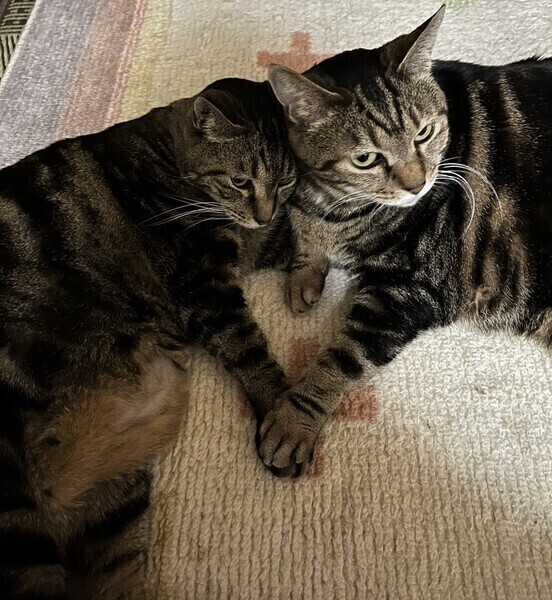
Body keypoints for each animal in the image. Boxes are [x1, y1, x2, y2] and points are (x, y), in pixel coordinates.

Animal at [0, 78, 297, 597]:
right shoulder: (204, 288)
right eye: (240, 181)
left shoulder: (252, 246)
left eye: (283, 182)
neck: (170, 158)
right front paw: (282, 414)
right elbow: (251, 353)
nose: (263, 212)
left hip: (112, 505)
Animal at [256, 5, 552, 476]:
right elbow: (305, 234)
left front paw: (292, 421)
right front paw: (305, 273)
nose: (417, 185)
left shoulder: (407, 293)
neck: (334, 201)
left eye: (424, 133)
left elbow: (339, 361)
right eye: (365, 158)